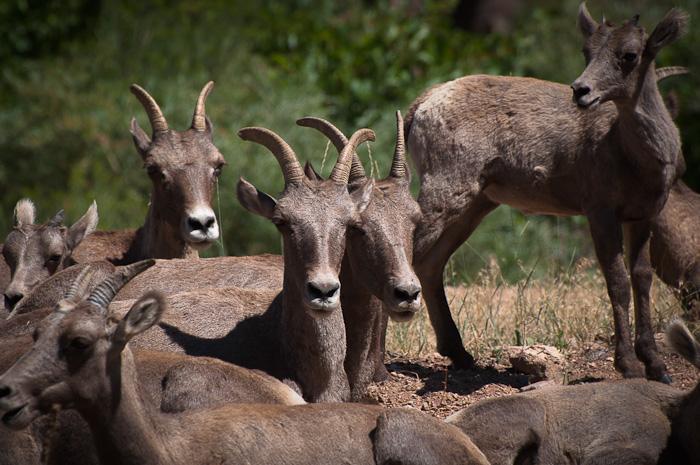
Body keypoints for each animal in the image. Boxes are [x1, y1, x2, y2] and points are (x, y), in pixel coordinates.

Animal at [405, 4, 687, 381]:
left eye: (629, 55)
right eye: (587, 51)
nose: (581, 90)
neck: (632, 154)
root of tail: (421, 105)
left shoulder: (643, 215)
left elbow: (641, 278)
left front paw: (657, 366)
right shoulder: (600, 211)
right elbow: (617, 281)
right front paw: (628, 365)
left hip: (476, 204)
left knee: (430, 263)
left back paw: (461, 354)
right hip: (446, 190)